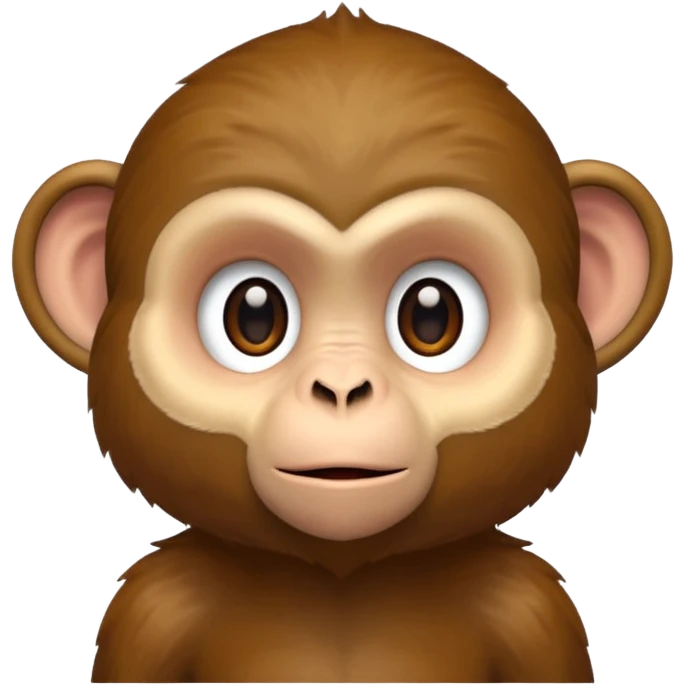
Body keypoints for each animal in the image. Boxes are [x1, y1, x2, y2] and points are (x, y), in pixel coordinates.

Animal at [10, 5, 673, 684]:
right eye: (254, 315)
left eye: (431, 316)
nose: (342, 387)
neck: (341, 583)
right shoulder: (152, 607)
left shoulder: (532, 609)